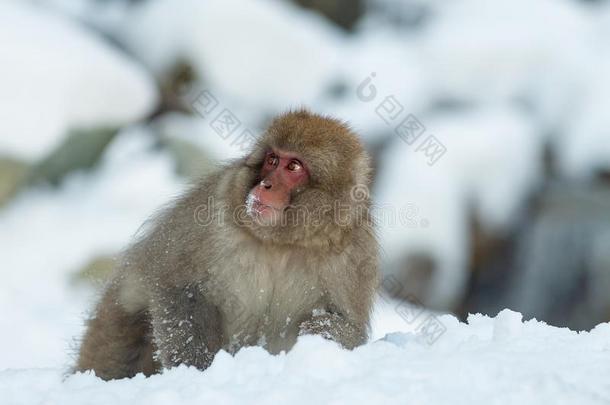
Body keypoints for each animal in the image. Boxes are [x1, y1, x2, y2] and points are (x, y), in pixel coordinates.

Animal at [76, 109, 378, 378]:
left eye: (294, 166)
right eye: (272, 160)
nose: (265, 185)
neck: (282, 242)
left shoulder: (355, 257)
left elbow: (349, 328)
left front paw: (323, 328)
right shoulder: (212, 213)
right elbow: (176, 285)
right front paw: (195, 368)